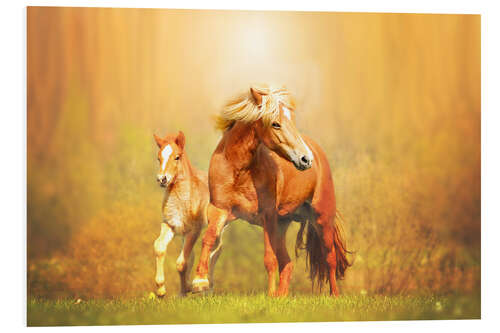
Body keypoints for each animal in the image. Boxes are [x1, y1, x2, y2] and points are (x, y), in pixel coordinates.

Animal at [191, 84, 352, 294]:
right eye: (275, 124)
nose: (305, 159)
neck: (238, 170)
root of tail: (317, 152)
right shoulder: (220, 210)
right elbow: (208, 238)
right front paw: (199, 282)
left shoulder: (267, 216)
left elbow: (269, 260)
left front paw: (268, 295)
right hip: (282, 225)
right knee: (288, 264)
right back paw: (281, 296)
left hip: (322, 218)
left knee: (329, 258)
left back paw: (334, 296)